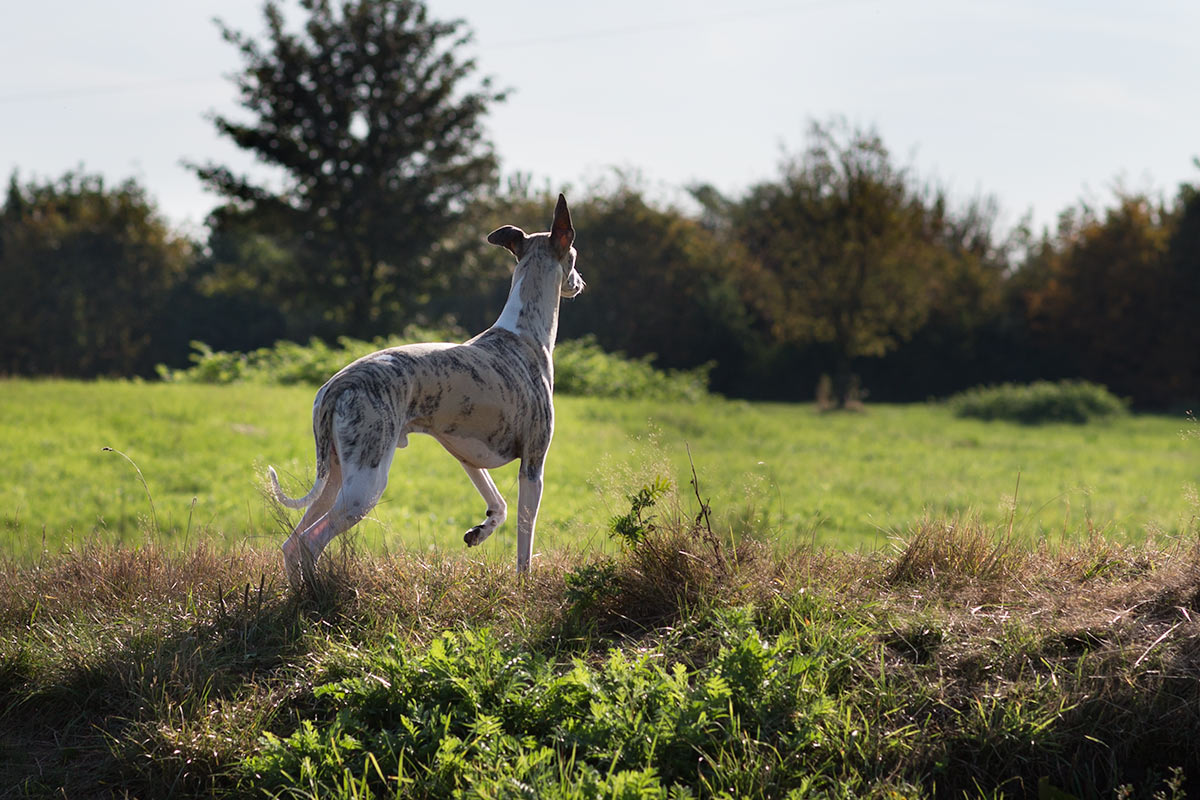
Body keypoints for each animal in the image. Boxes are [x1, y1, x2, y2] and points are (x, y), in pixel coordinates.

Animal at [268, 191, 585, 582]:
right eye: (574, 256)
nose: (580, 283)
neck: (524, 332)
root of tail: (336, 387)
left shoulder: (465, 453)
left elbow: (499, 504)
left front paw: (480, 531)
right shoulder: (533, 464)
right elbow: (525, 535)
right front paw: (523, 583)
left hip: (335, 478)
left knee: (291, 543)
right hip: (364, 488)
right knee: (311, 542)